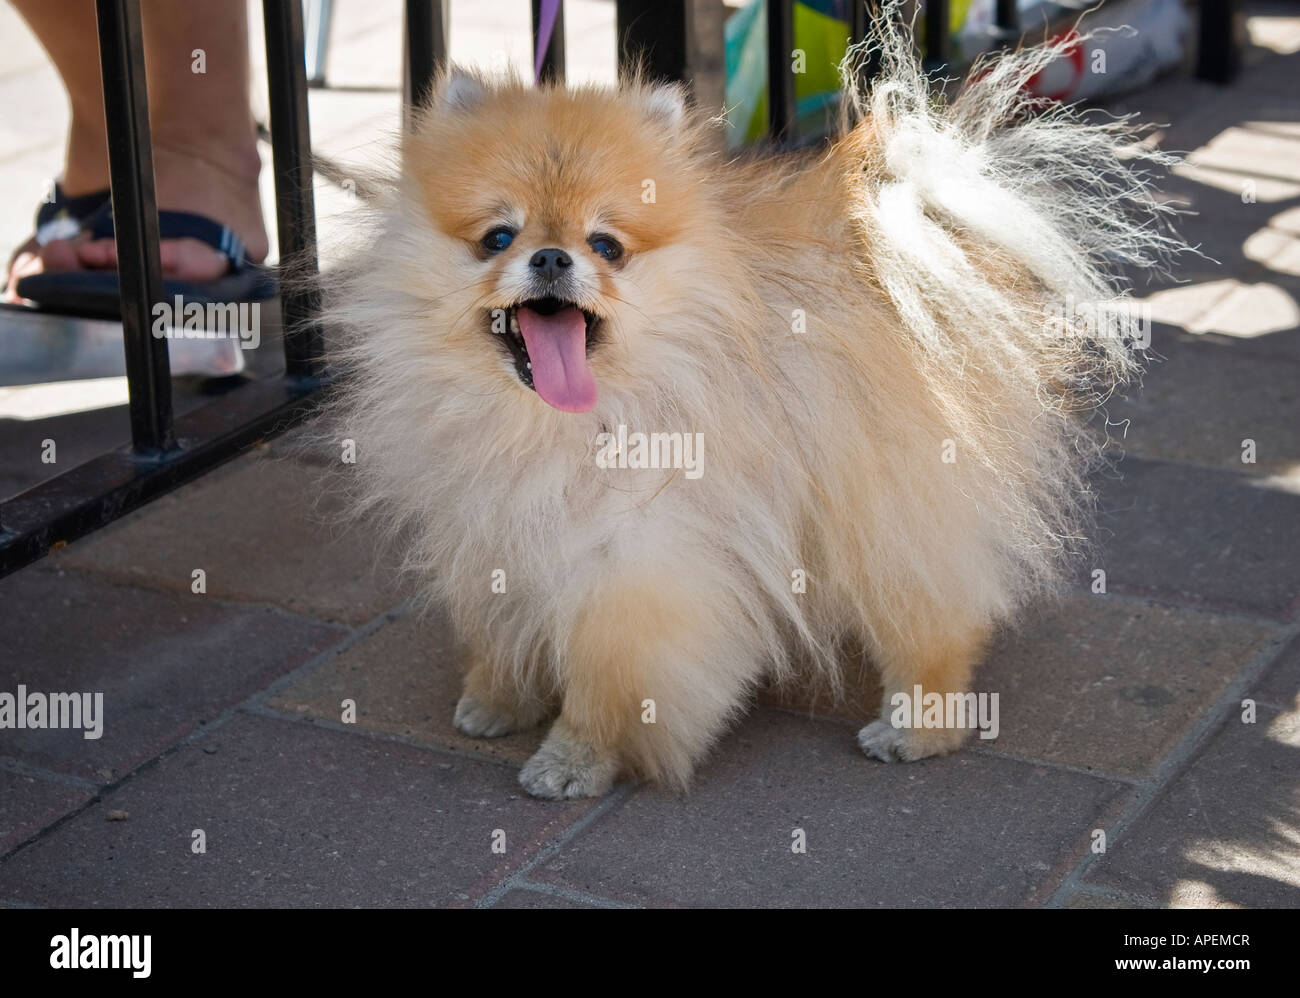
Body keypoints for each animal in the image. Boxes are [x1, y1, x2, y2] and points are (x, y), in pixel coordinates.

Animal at [325, 11, 1180, 800]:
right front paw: (499, 697)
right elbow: (503, 623)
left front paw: (575, 756)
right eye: (496, 237)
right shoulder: (492, 523)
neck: (550, 423)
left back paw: (917, 725)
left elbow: (612, 674)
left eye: (607, 246)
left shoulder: (638, 555)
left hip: (888, 501)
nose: (551, 256)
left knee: (935, 615)